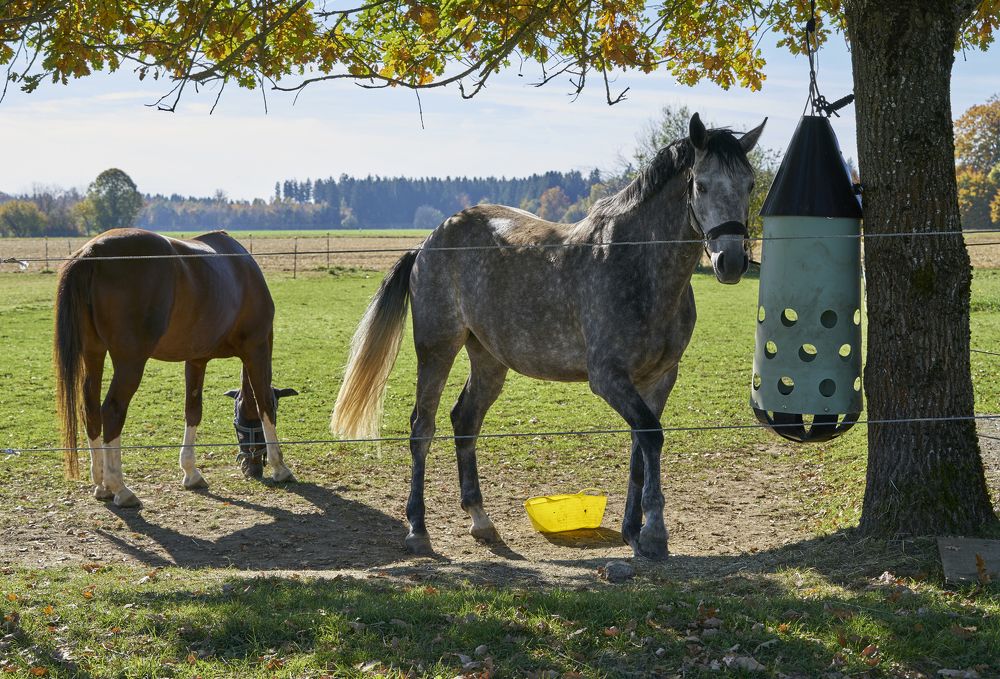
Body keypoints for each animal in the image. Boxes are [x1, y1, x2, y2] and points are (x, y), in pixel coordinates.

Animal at [54, 228, 296, 508]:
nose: (252, 467)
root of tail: (92, 252)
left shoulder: (196, 360)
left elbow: (193, 411)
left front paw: (191, 472)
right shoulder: (258, 349)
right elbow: (264, 402)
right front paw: (280, 467)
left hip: (93, 354)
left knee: (91, 409)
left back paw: (101, 483)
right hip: (130, 362)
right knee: (112, 410)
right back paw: (120, 487)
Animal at [331, 113, 764, 560]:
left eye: (750, 184)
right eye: (701, 185)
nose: (731, 261)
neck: (637, 265)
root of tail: (428, 242)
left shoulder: (659, 379)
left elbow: (641, 448)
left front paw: (633, 529)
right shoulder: (608, 378)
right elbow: (651, 436)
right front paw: (654, 532)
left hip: (488, 359)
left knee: (464, 420)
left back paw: (480, 520)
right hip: (437, 349)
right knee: (423, 426)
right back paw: (418, 528)